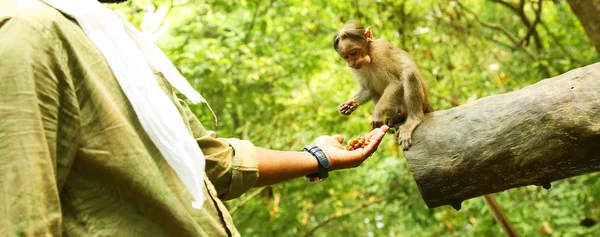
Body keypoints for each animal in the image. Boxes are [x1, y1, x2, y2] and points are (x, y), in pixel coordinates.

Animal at [332, 21, 432, 149]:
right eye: (345, 57)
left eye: (353, 53)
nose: (351, 63)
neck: (369, 54)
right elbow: (368, 89)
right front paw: (349, 104)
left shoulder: (381, 50)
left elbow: (395, 82)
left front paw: (377, 114)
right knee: (375, 91)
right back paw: (393, 120)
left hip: (421, 102)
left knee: (409, 73)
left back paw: (413, 120)